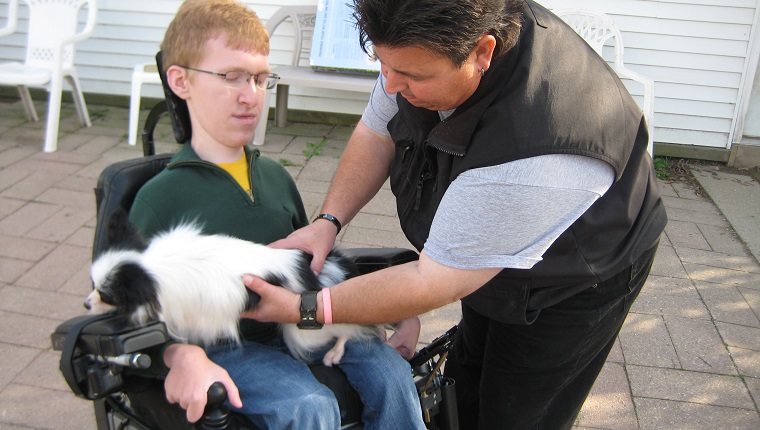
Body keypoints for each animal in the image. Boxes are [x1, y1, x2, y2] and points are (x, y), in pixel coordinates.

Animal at [87, 212, 380, 366]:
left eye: (107, 295)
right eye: (93, 285)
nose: (86, 304)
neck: (153, 268)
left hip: (303, 333)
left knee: (348, 330)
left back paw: (335, 353)